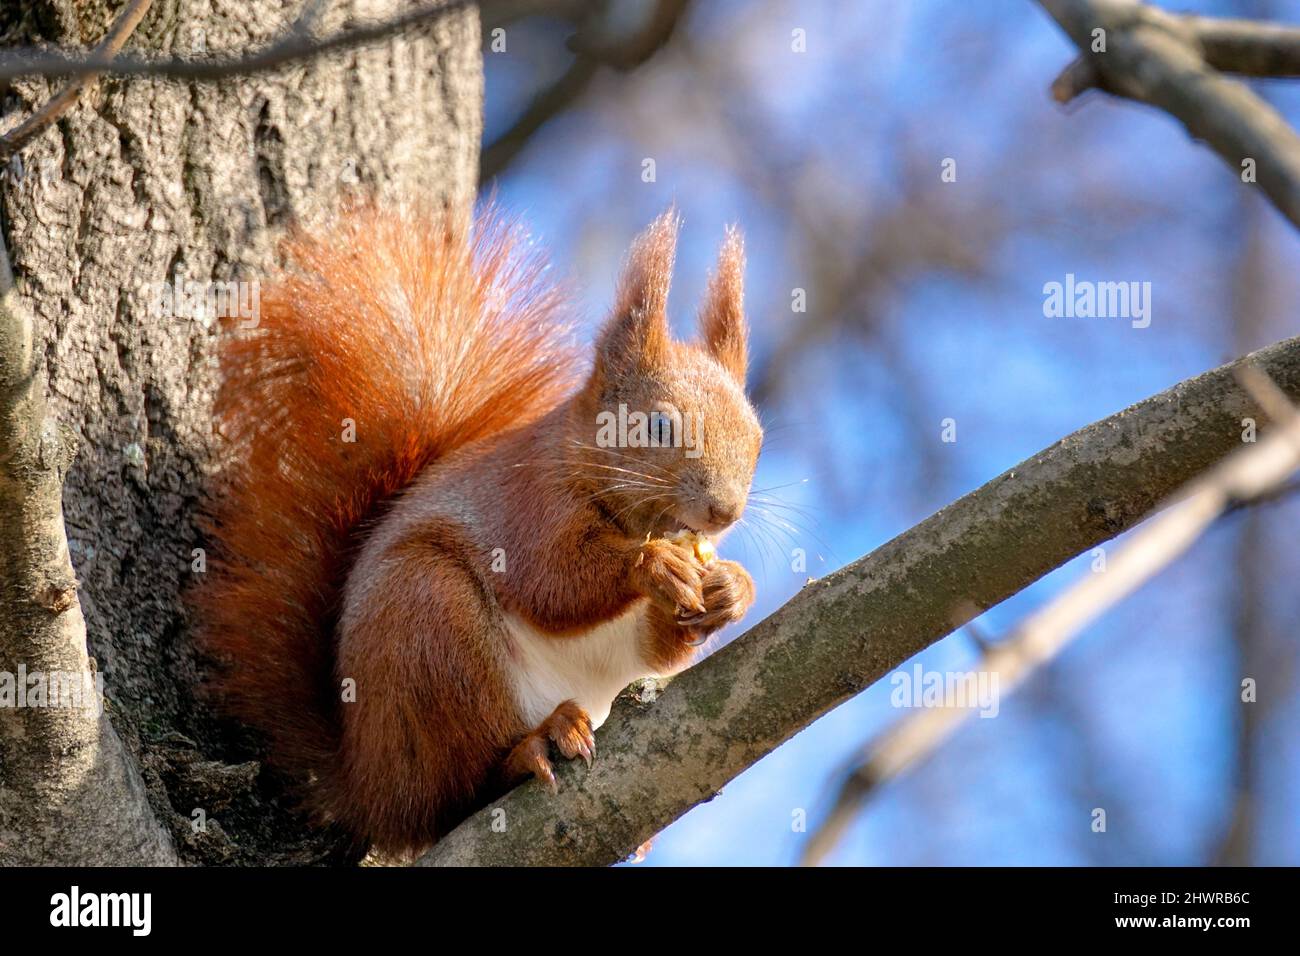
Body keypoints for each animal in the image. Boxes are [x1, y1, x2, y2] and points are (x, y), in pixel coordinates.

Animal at [196, 204, 762, 856]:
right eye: (659, 426)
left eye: (757, 438)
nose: (724, 512)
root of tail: (367, 788)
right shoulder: (524, 505)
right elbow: (554, 583)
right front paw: (654, 566)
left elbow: (658, 649)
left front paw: (732, 588)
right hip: (430, 623)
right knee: (458, 787)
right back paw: (531, 746)